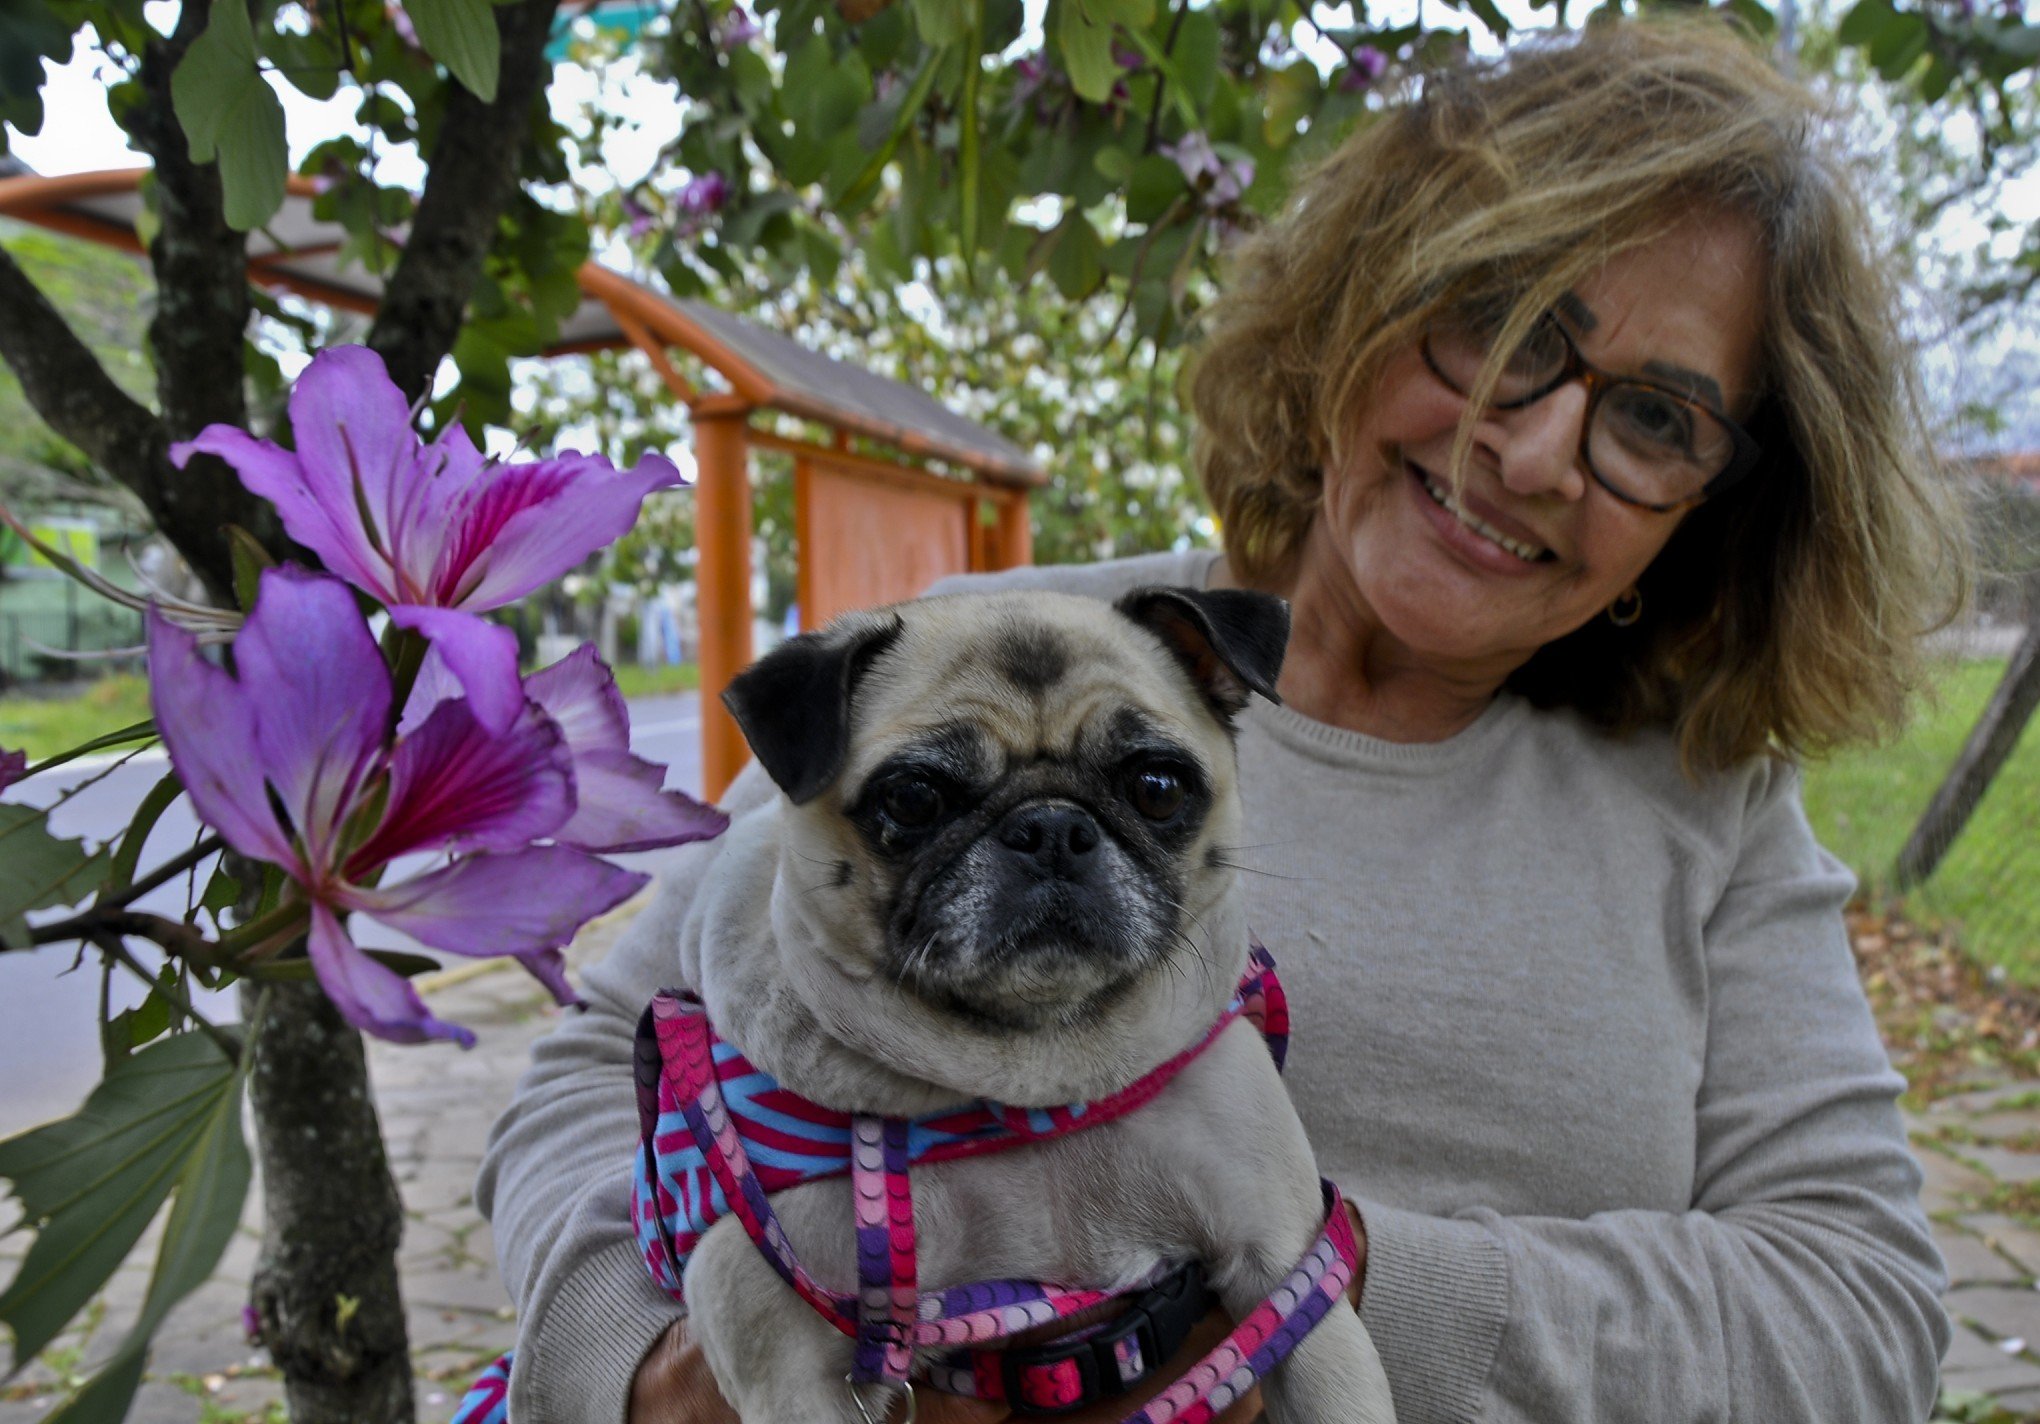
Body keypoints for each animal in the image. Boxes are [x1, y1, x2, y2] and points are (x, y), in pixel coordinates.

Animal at [677, 583, 1395, 1419]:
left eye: (1157, 788)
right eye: (914, 798)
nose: (1051, 826)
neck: (1033, 1079)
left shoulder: (1291, 1281)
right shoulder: (788, 1374)